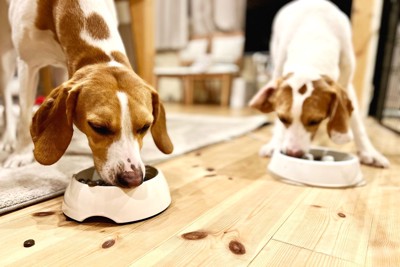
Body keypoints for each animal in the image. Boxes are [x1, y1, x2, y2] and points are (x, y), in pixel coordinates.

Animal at [0, 0, 174, 187]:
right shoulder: (27, 64)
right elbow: (24, 117)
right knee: (8, 100)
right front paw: (21, 154)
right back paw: (8, 139)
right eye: (98, 127)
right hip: (6, 56)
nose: (132, 179)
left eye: (145, 127)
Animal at [248, 0, 390, 168]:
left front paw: (369, 151)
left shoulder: (346, 82)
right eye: (283, 118)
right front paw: (275, 142)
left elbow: (357, 123)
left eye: (315, 121)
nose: (293, 153)